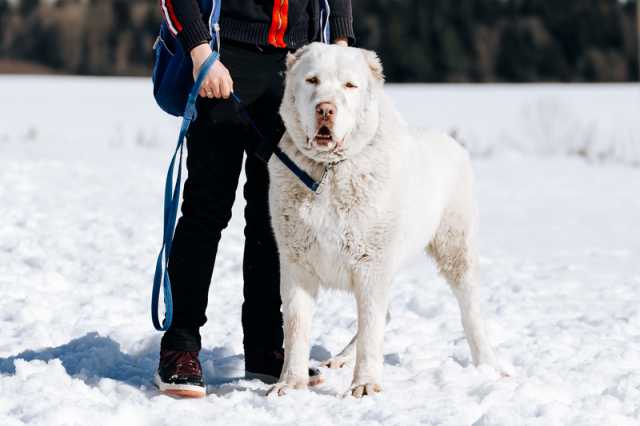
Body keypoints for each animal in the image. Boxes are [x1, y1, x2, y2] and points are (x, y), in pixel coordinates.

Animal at [264, 41, 500, 398]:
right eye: (312, 80)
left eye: (349, 85)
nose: (325, 109)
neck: (331, 170)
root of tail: (451, 142)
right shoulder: (296, 264)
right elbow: (295, 327)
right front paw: (290, 384)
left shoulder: (370, 263)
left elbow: (371, 330)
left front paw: (364, 385)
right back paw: (340, 358)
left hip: (454, 247)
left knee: (470, 308)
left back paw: (489, 366)